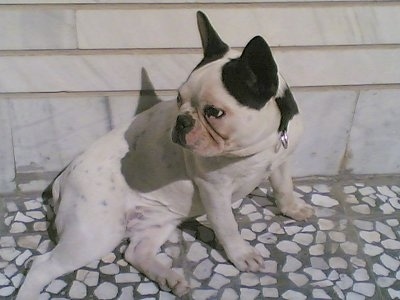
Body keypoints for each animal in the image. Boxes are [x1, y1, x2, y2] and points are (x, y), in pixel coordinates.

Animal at [17, 11, 314, 298]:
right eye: (179, 99)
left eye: (214, 112)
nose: (181, 121)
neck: (260, 145)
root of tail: (61, 182)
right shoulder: (214, 190)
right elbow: (227, 225)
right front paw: (242, 255)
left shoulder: (281, 161)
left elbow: (284, 187)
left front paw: (292, 208)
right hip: (95, 234)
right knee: (41, 265)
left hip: (157, 222)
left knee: (134, 252)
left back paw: (169, 278)